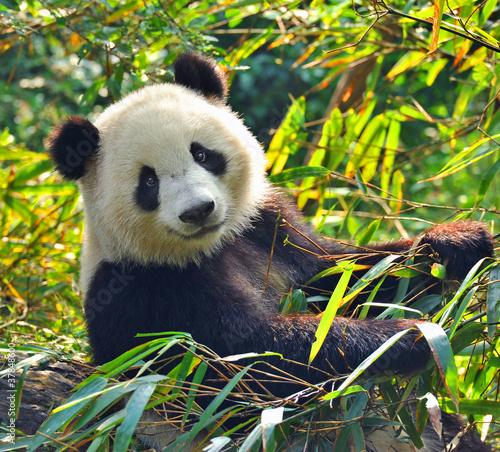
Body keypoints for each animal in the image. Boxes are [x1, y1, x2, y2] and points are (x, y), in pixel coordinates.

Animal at [48, 53, 494, 448]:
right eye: (149, 181)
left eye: (202, 153)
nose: (198, 211)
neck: (208, 247)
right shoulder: (143, 293)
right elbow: (243, 361)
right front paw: (404, 338)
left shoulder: (267, 229)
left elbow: (344, 278)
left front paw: (454, 243)